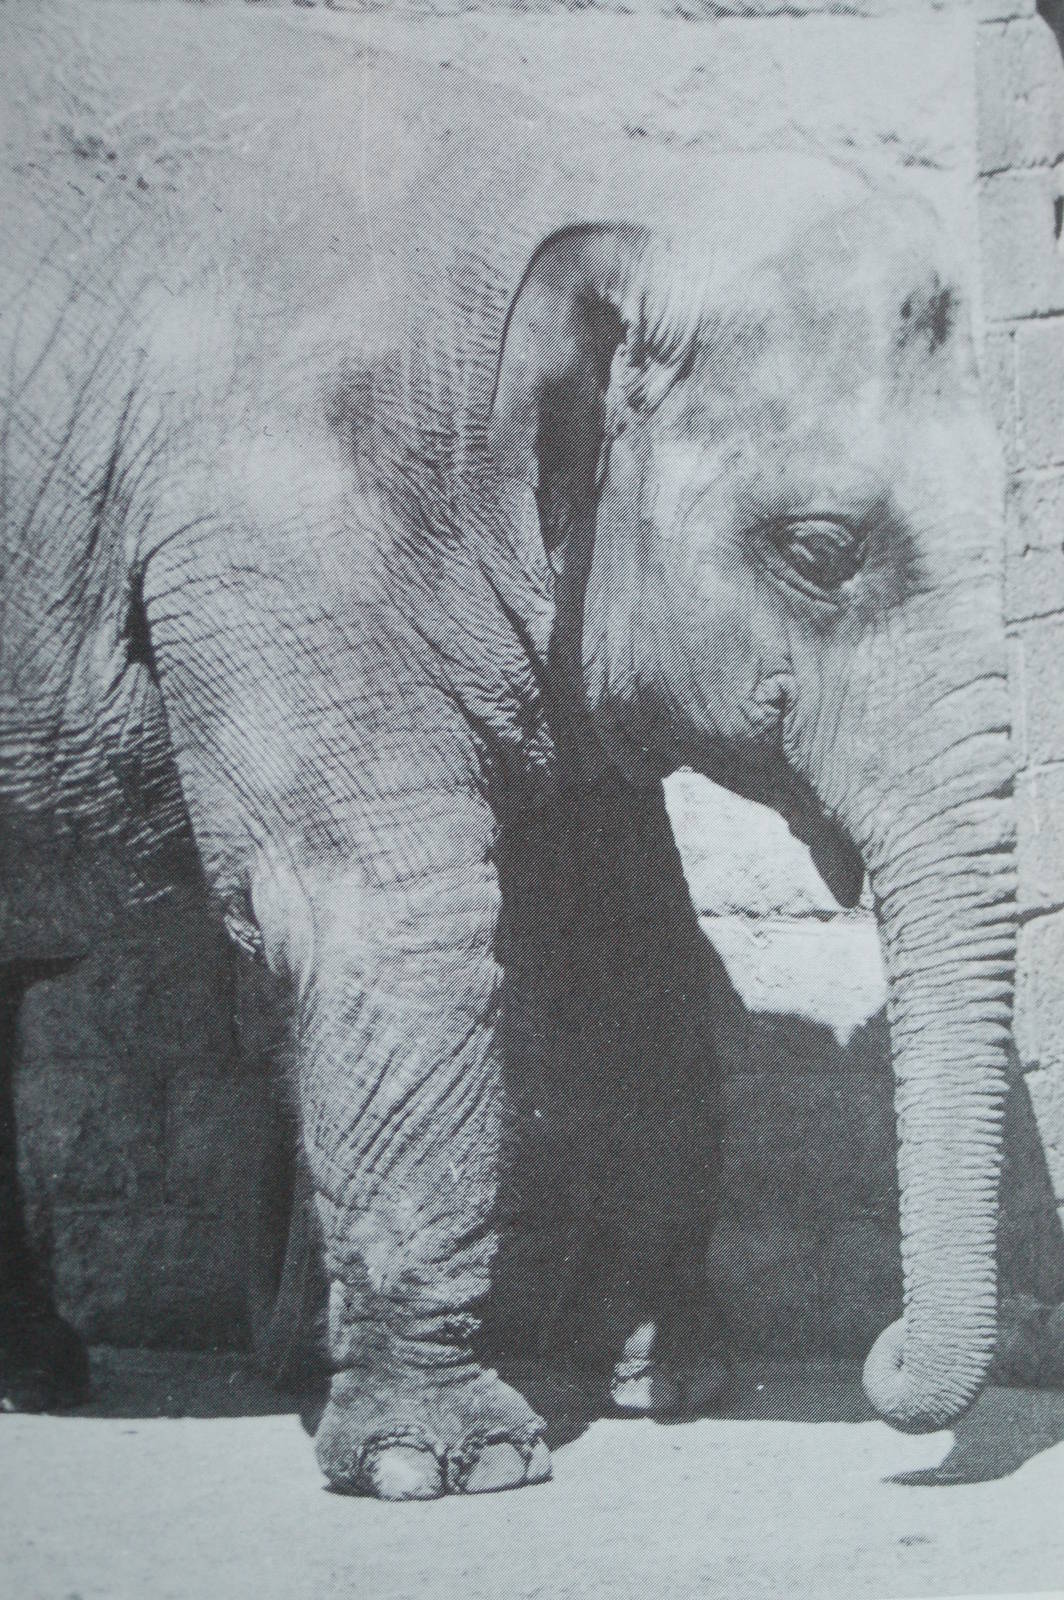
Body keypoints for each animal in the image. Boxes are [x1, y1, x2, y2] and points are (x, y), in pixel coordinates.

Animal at [1, 5, 1017, 1499]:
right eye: (821, 550)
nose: (885, 1367)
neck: (606, 184)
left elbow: (627, 936)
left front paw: (659, 1386)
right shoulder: (268, 534)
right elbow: (391, 910)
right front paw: (444, 1462)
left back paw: (46, 1373)